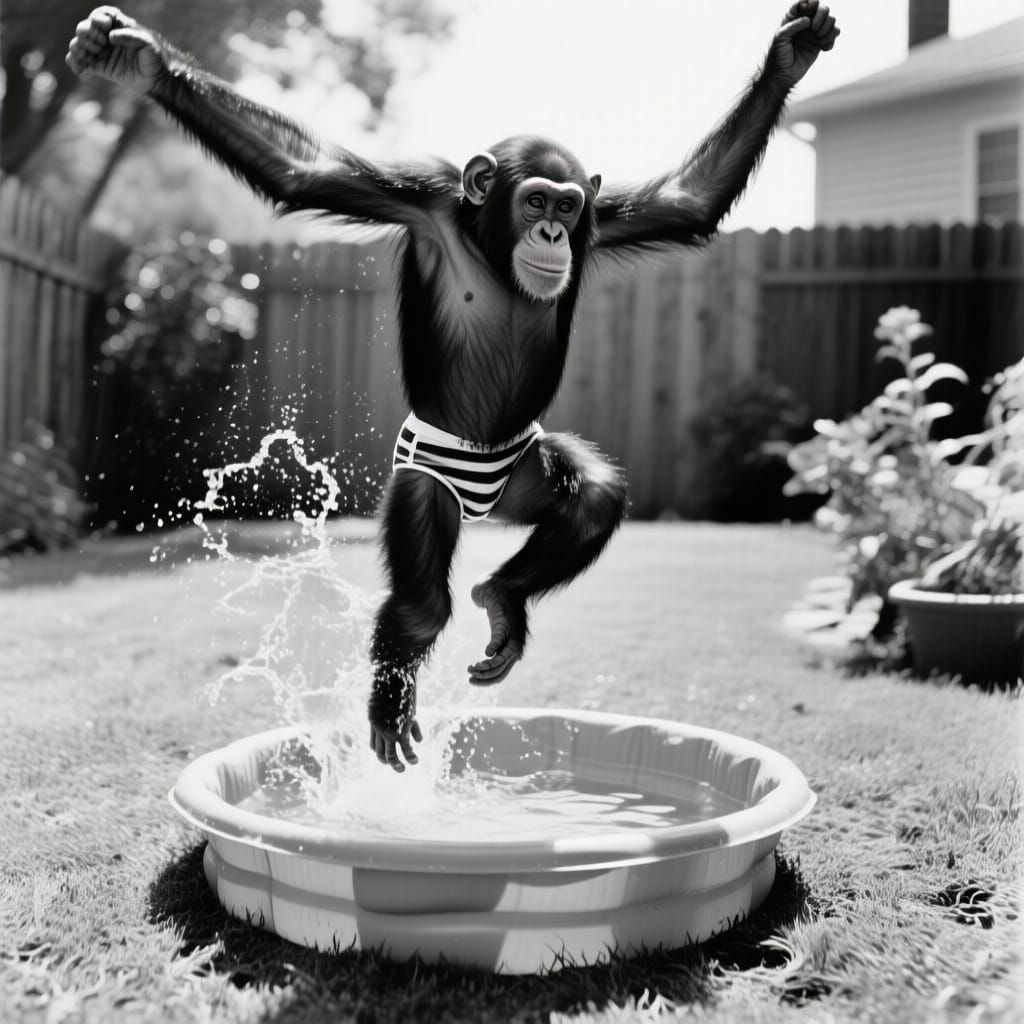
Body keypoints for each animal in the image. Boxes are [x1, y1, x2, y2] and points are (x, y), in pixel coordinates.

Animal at [67, 3, 840, 772]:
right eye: (535, 200)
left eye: (567, 204)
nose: (554, 233)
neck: (490, 247)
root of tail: (485, 503)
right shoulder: (419, 199)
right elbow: (303, 170)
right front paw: (140, 60)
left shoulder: (610, 218)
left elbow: (688, 200)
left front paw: (791, 54)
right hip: (426, 481)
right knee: (420, 606)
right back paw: (393, 704)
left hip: (526, 475)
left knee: (593, 497)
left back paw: (503, 597)